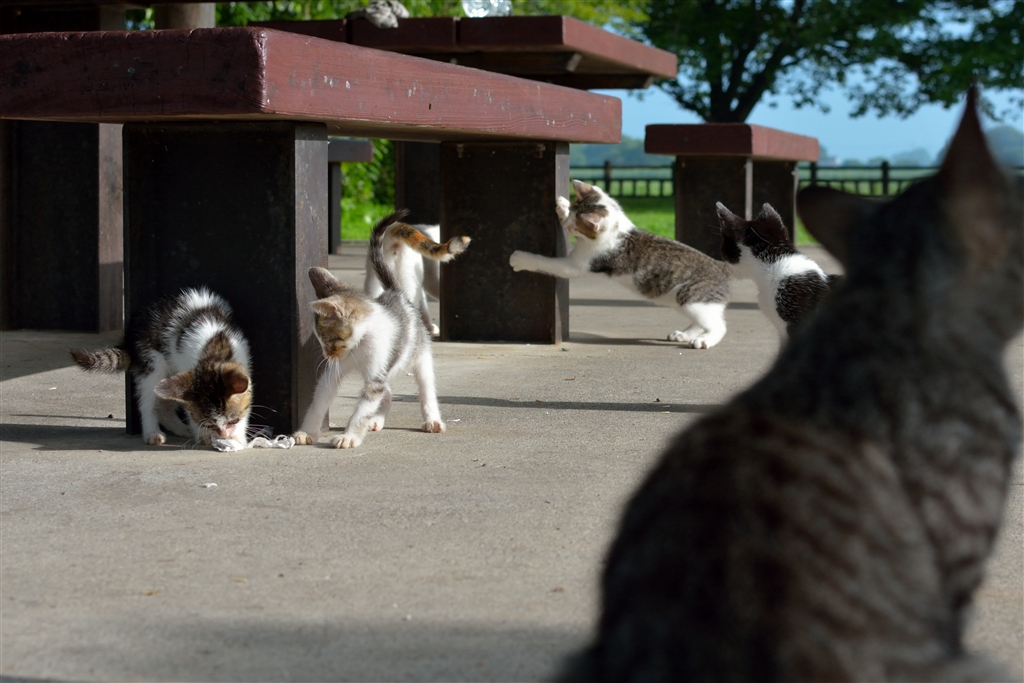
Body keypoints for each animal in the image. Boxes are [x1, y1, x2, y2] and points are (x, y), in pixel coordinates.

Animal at [70, 288, 253, 448]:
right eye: (209, 423)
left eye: (233, 421)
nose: (223, 435)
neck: (215, 348)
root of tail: (129, 337)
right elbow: (190, 411)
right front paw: (203, 435)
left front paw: (239, 438)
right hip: (153, 362)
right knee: (147, 402)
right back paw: (152, 433)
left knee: (165, 407)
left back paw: (181, 429)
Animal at [294, 209, 445, 449]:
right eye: (320, 341)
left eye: (329, 340)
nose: (327, 355)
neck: (359, 345)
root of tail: (395, 292)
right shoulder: (334, 374)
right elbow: (319, 401)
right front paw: (306, 431)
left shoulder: (377, 373)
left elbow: (364, 407)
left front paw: (349, 436)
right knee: (388, 393)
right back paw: (377, 421)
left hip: (419, 354)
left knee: (425, 388)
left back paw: (432, 420)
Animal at [509, 179, 731, 349]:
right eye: (572, 215)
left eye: (576, 227)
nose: (565, 225)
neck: (619, 231)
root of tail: (721, 267)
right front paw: (562, 205)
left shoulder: (577, 265)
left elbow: (549, 263)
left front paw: (520, 259)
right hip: (689, 302)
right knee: (706, 320)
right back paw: (686, 334)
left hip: (691, 297)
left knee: (719, 326)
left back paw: (704, 341)